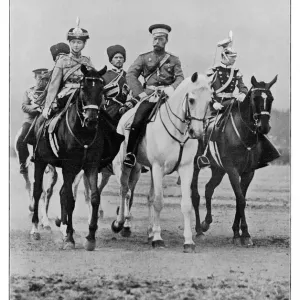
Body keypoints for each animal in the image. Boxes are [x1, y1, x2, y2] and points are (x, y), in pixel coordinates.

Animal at [29, 65, 108, 251]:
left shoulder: (91, 166)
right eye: (83, 88)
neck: (84, 132)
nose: (91, 119)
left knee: (61, 192)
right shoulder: (69, 166)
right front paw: (70, 238)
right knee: (38, 191)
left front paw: (90, 237)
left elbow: (94, 197)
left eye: (101, 89)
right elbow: (69, 199)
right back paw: (35, 229)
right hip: (41, 162)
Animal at [110, 72, 211, 253]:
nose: (197, 132)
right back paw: (120, 224)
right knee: (124, 191)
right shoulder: (158, 168)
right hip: (123, 166)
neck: (178, 131)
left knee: (137, 193)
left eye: (209, 101)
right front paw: (158, 239)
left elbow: (186, 205)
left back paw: (147, 230)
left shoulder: (186, 169)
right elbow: (158, 201)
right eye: (192, 100)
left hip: (138, 169)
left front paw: (188, 241)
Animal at [191, 75, 278, 246]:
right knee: (195, 195)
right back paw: (199, 230)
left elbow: (240, 199)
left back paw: (206, 223)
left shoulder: (248, 172)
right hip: (195, 166)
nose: (264, 127)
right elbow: (241, 199)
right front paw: (243, 234)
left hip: (218, 170)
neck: (243, 134)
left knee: (209, 188)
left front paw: (239, 233)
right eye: (255, 98)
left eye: (271, 98)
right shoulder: (232, 170)